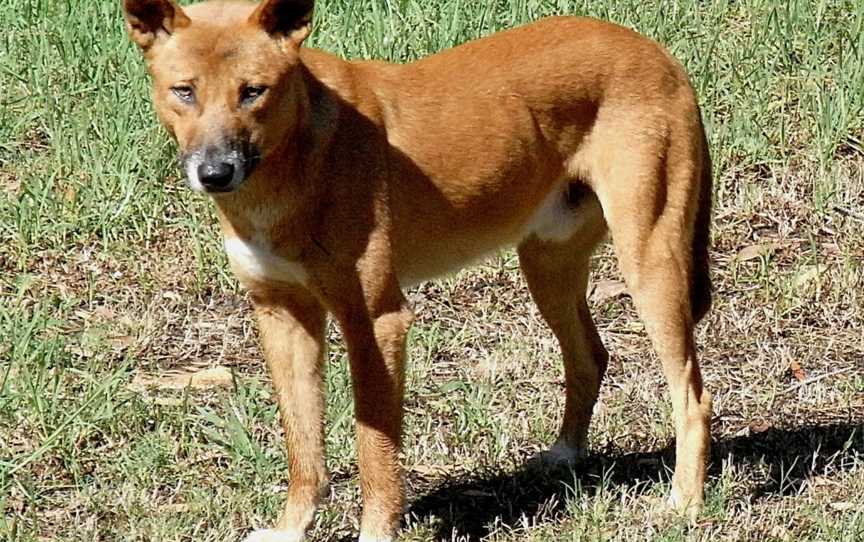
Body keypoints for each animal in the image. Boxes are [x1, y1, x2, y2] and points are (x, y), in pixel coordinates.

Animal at [123, 1, 716, 540]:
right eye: (184, 91)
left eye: (253, 91)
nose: (215, 172)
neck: (293, 164)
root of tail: (657, 52)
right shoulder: (282, 315)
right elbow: (303, 449)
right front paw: (291, 529)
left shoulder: (375, 320)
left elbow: (375, 453)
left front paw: (375, 532)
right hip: (546, 263)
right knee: (590, 356)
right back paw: (566, 453)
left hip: (649, 261)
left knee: (692, 395)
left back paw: (685, 502)